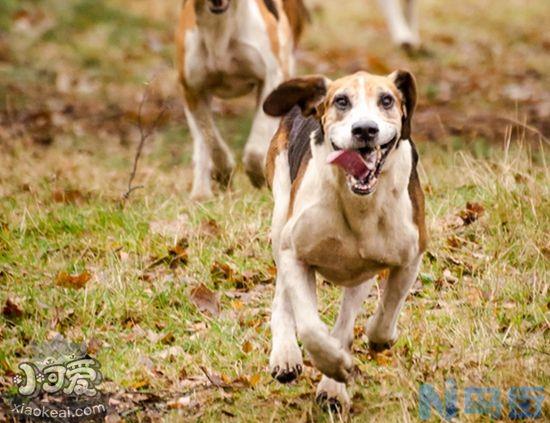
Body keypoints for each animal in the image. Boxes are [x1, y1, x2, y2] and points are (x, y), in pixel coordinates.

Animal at [176, 0, 308, 201]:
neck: (220, 27)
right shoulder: (192, 89)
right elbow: (210, 139)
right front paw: (222, 171)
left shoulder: (270, 80)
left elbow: (255, 147)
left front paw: (258, 174)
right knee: (201, 141)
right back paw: (201, 191)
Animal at [264, 69, 426, 410]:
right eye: (341, 101)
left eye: (387, 100)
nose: (365, 129)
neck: (358, 203)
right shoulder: (296, 253)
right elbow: (310, 327)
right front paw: (333, 364)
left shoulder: (411, 255)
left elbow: (385, 313)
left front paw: (377, 342)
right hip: (281, 213)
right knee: (282, 297)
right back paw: (286, 355)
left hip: (360, 274)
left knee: (347, 319)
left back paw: (333, 387)